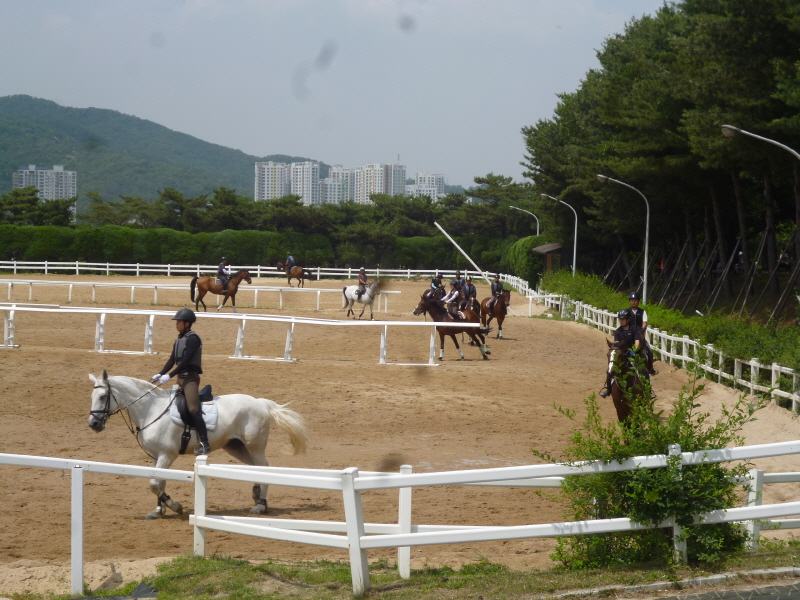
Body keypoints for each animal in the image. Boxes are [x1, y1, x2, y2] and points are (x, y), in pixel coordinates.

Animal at [87, 368, 306, 516]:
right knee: (255, 469)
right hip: (237, 447)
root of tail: (260, 403)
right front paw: (158, 510)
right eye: (92, 396)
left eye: (103, 396)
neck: (150, 409)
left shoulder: (167, 455)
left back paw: (260, 504)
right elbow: (160, 482)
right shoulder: (156, 456)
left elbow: (154, 483)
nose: (93, 424)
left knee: (264, 468)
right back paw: (257, 496)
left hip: (255, 447)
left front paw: (175, 506)